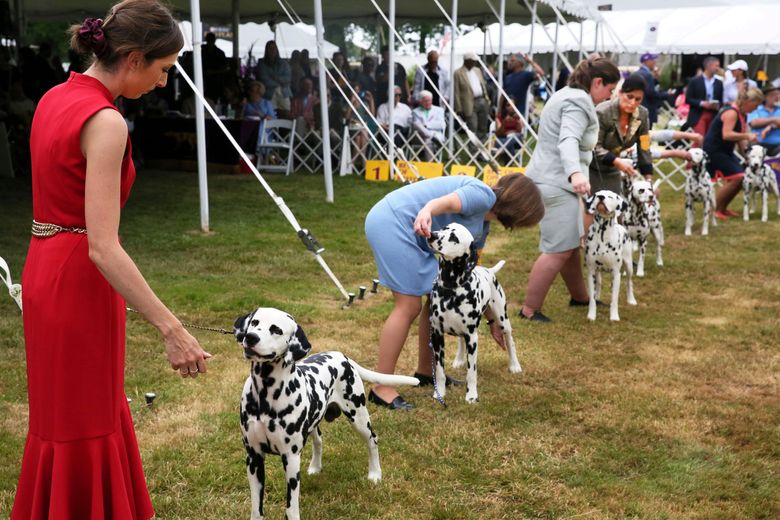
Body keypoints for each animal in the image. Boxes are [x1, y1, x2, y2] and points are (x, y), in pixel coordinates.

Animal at [233, 308, 420, 520]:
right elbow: (257, 508)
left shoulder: (291, 459)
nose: (250, 337)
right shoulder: (253, 458)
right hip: (314, 423)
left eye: (276, 330)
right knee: (319, 441)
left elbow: (291, 506)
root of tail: (342, 356)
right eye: (254, 322)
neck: (265, 396)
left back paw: (375, 474)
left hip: (359, 417)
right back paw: (315, 467)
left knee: (373, 439)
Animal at [424, 221, 520, 404]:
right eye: (444, 229)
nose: (432, 235)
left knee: (510, 340)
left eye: (454, 238)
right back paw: (459, 359)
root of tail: (489, 271)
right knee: (460, 340)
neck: (451, 289)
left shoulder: (473, 339)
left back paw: (514, 365)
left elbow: (471, 372)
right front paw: (439, 393)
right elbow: (439, 371)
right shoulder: (437, 335)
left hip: (503, 320)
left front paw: (471, 396)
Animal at [584, 191, 632, 320]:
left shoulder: (616, 274)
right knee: (599, 283)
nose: (601, 197)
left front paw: (614, 317)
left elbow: (614, 299)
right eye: (597, 194)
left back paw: (632, 300)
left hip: (629, 266)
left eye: (610, 196)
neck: (603, 234)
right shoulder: (591, 272)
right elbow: (591, 299)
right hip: (597, 272)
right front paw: (591, 315)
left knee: (629, 282)